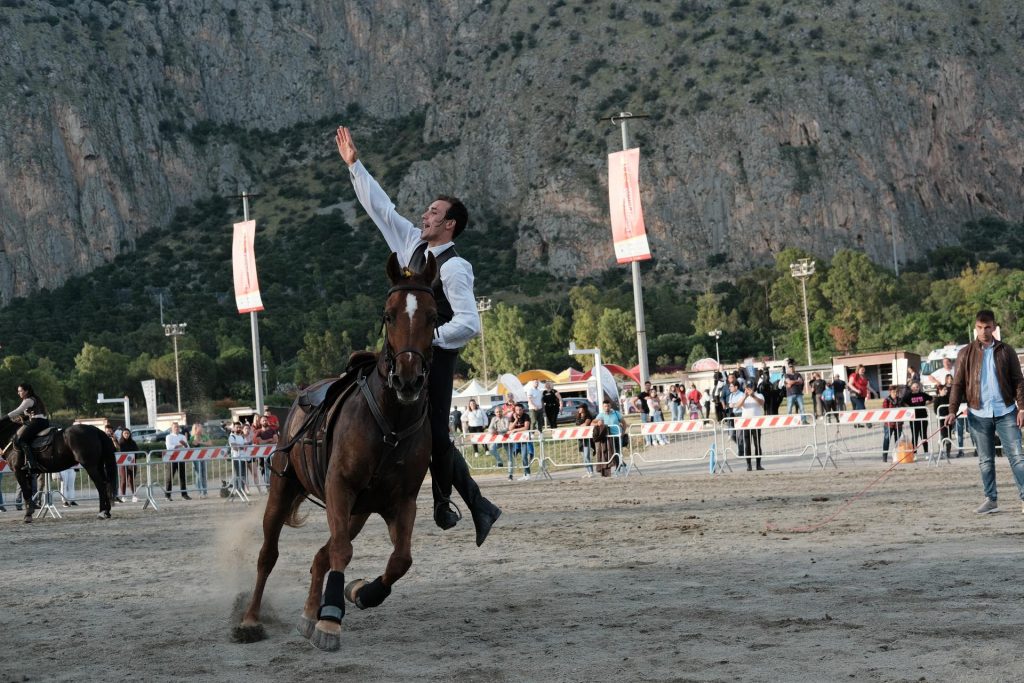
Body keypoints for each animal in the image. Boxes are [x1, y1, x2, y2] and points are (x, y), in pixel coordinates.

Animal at [235, 252, 440, 651]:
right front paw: (330, 621)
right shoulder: (339, 487)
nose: (408, 379)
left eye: (433, 315)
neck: (390, 424)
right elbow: (341, 552)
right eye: (389, 314)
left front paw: (360, 592)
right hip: (284, 490)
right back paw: (251, 619)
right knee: (268, 554)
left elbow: (400, 560)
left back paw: (308, 614)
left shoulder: (402, 500)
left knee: (321, 555)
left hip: (356, 512)